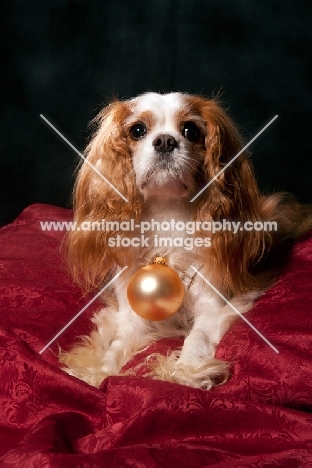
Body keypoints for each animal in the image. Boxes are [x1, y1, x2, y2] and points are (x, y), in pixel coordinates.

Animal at [59, 91, 308, 388]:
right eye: (137, 130)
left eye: (191, 130)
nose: (165, 141)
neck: (167, 213)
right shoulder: (133, 314)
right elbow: (117, 344)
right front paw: (97, 372)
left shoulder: (212, 307)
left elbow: (197, 336)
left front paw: (186, 369)